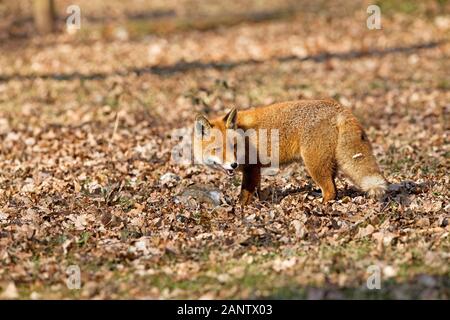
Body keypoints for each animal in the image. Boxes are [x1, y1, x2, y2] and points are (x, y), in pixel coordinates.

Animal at [193, 99, 386, 205]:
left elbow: (244, 196)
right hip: (327, 163)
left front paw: (241, 210)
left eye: (234, 147)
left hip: (314, 165)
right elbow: (257, 191)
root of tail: (338, 107)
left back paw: (321, 206)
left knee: (331, 190)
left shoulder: (252, 168)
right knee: (334, 187)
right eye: (218, 149)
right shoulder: (256, 171)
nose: (234, 164)